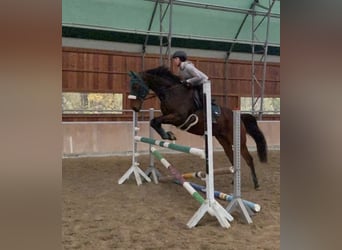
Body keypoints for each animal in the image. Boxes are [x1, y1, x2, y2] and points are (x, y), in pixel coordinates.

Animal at [127, 65, 268, 188]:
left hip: (238, 140)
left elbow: (155, 121)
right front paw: (168, 135)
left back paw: (256, 183)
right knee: (232, 157)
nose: (134, 108)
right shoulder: (169, 116)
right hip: (223, 140)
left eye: (135, 85)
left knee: (248, 158)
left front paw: (169, 135)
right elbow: (154, 122)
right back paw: (234, 180)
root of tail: (239, 116)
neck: (170, 91)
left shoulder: (179, 117)